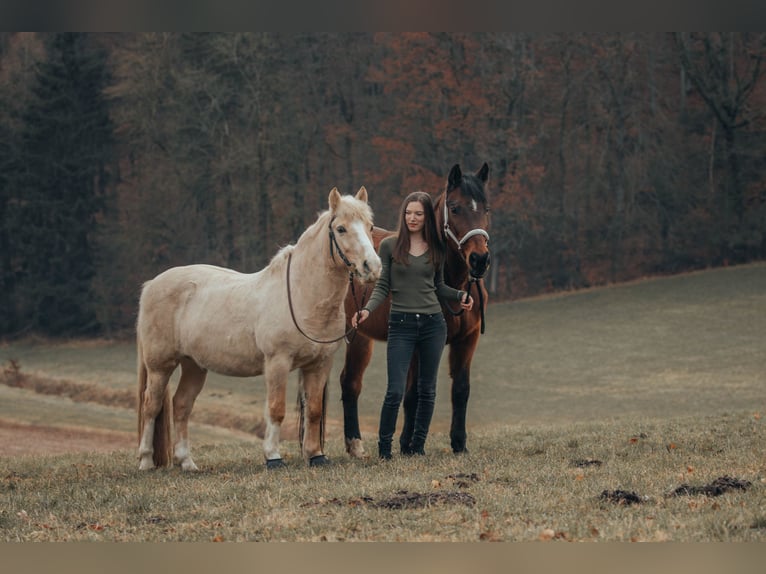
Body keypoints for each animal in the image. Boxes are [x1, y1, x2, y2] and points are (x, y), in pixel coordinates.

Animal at [136, 187, 382, 470]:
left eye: (370, 226)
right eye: (341, 229)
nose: (372, 267)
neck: (302, 295)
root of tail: (152, 284)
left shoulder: (320, 364)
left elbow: (314, 410)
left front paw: (316, 455)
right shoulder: (277, 362)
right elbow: (276, 409)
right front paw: (273, 456)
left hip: (193, 365)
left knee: (181, 405)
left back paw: (187, 463)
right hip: (160, 366)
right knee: (151, 406)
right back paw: (145, 461)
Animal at [340, 164, 492, 462]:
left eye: (486, 208)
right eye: (455, 208)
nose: (479, 259)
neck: (453, 283)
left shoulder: (467, 340)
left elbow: (461, 390)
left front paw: (459, 443)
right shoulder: (415, 345)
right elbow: (411, 394)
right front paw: (406, 445)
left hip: (363, 338)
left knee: (351, 383)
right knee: (345, 383)